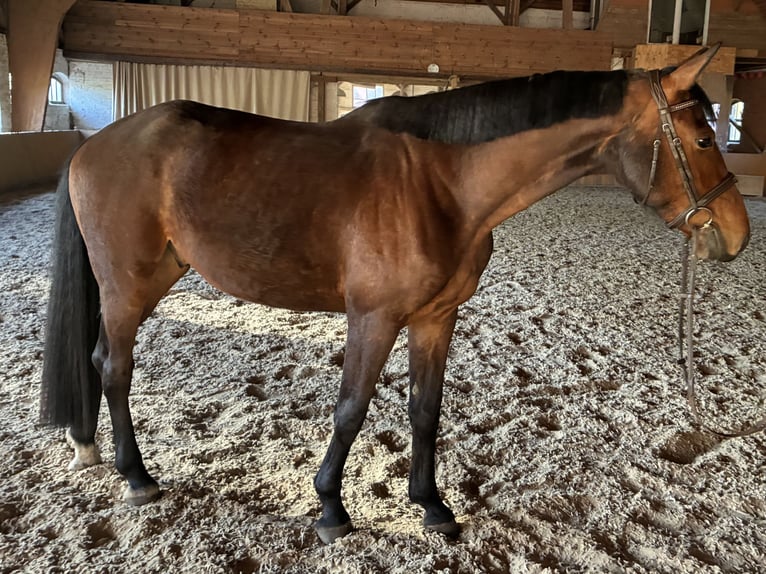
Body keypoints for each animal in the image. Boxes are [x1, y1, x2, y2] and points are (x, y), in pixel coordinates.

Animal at [40, 45, 749, 544]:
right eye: (703, 137)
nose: (736, 234)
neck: (441, 183)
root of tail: (94, 146)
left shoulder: (436, 318)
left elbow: (425, 410)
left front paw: (432, 506)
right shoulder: (374, 319)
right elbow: (351, 409)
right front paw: (331, 508)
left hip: (154, 277)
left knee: (102, 362)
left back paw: (95, 451)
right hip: (127, 286)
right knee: (115, 366)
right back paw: (136, 478)